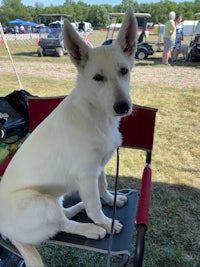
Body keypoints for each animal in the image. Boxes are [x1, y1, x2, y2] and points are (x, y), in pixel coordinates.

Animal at [0, 8, 138, 267]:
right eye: (97, 78)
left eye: (124, 71)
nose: (123, 107)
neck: (96, 115)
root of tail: (8, 232)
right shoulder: (86, 174)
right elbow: (95, 207)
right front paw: (105, 223)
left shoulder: (98, 168)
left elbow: (103, 188)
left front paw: (111, 200)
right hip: (41, 203)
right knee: (60, 224)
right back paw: (91, 229)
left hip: (56, 198)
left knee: (64, 214)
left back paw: (79, 207)